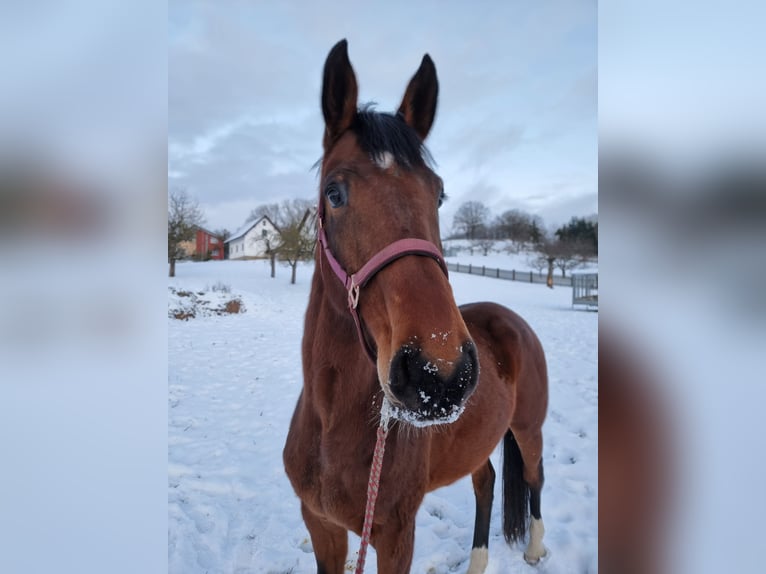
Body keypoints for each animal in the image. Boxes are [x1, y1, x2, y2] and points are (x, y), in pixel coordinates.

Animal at [283, 39, 549, 574]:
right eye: (334, 193)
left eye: (439, 194)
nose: (439, 374)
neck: (331, 426)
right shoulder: (321, 526)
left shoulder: (395, 536)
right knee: (487, 483)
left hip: (529, 429)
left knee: (534, 477)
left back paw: (534, 548)